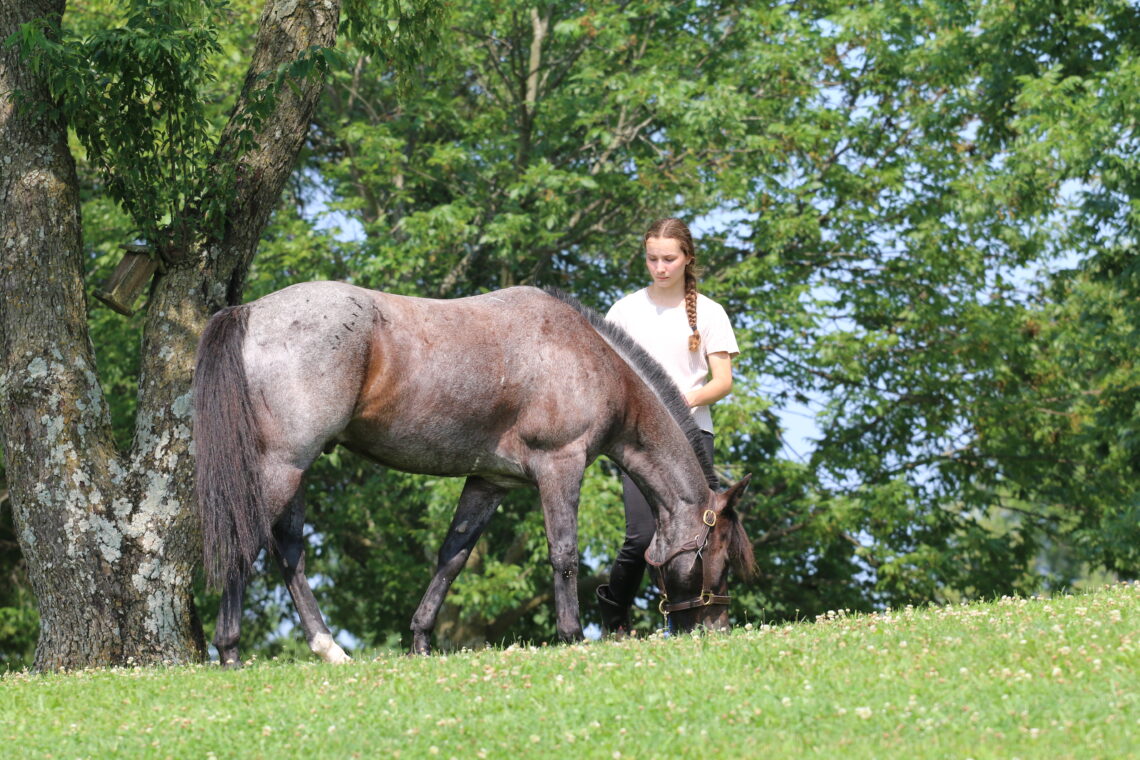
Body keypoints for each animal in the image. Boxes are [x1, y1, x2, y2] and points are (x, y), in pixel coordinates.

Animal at [192, 280, 756, 665]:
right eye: (720, 557)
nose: (718, 627)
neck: (591, 357)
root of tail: (249, 312)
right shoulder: (561, 465)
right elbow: (564, 553)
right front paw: (571, 635)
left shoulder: (490, 482)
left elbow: (453, 556)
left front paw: (421, 638)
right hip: (284, 467)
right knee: (250, 541)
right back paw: (230, 649)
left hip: (294, 470)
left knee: (289, 552)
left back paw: (328, 647)